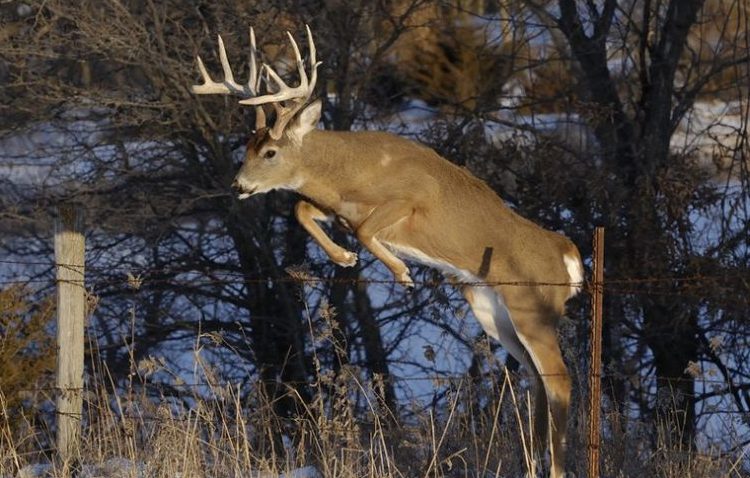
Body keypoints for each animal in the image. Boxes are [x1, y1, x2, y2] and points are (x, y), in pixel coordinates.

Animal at [191, 26, 584, 478]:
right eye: (246, 148)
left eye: (270, 152)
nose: (239, 185)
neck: (351, 173)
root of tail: (568, 256)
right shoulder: (337, 209)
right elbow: (303, 209)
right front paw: (344, 258)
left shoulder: (412, 198)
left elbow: (363, 229)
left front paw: (400, 271)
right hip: (494, 313)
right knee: (537, 379)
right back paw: (534, 461)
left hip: (532, 309)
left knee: (560, 379)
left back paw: (556, 467)